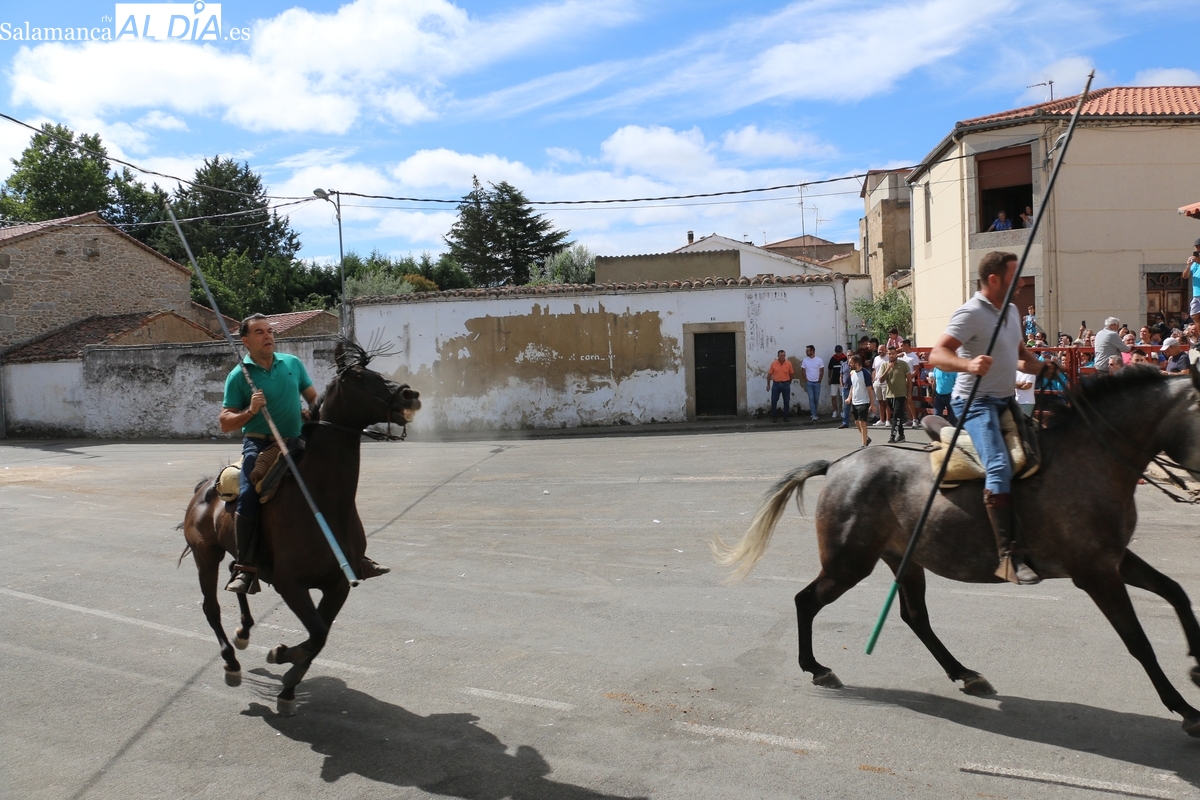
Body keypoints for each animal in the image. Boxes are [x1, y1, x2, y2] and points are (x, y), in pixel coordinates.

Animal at [179, 340, 421, 715]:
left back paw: (244, 629)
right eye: (358, 376)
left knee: (239, 578)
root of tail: (204, 487)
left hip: (238, 555)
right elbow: (317, 634)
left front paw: (289, 685)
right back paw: (231, 663)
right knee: (211, 607)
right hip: (206, 555)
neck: (322, 501)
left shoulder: (339, 585)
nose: (410, 394)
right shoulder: (291, 585)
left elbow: (320, 635)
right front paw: (282, 657)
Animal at [714, 364, 1200, 736]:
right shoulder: (1096, 573)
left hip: (902, 559)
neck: (1092, 459)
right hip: (849, 563)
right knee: (806, 600)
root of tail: (838, 467)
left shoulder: (1115, 560)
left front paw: (1196, 667)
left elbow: (1176, 592)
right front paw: (1186, 710)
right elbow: (1139, 643)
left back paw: (965, 673)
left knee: (914, 617)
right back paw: (817, 668)